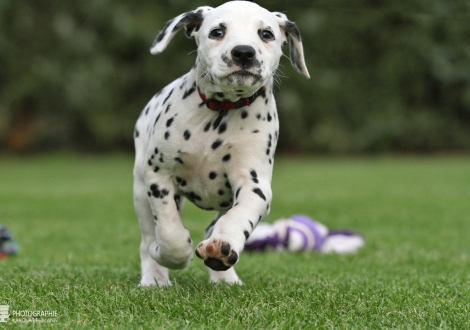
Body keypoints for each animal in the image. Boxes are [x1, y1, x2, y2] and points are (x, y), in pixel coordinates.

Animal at [133, 0, 308, 286]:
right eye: (217, 32)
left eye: (266, 34)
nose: (244, 53)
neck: (221, 111)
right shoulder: (159, 177)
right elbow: (170, 234)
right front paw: (168, 253)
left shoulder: (254, 186)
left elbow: (238, 217)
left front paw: (222, 247)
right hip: (140, 188)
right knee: (148, 236)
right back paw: (154, 278)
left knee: (212, 225)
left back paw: (225, 278)